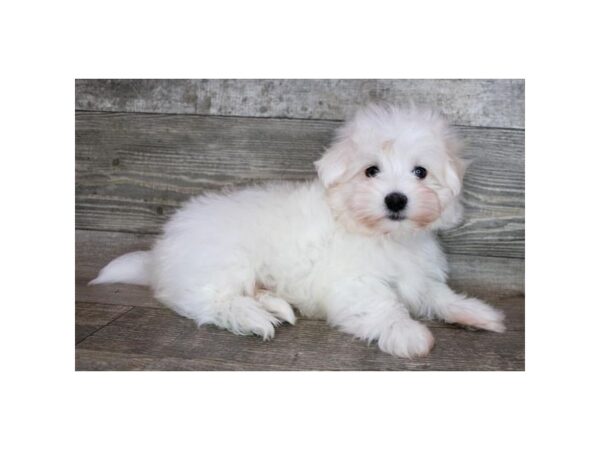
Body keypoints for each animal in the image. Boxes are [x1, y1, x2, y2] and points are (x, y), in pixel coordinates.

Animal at [91, 103, 506, 356]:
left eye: (420, 172)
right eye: (371, 171)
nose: (396, 200)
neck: (384, 236)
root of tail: (160, 253)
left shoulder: (417, 275)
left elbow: (436, 294)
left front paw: (472, 311)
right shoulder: (353, 284)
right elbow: (382, 304)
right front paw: (407, 333)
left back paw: (274, 302)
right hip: (223, 259)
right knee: (206, 299)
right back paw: (253, 316)